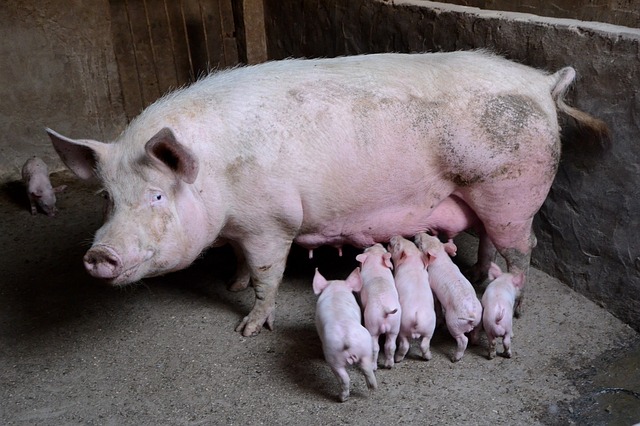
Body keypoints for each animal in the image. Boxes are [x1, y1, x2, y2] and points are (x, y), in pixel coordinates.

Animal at [47, 50, 608, 336]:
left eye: (157, 196)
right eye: (107, 198)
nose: (98, 255)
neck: (217, 179)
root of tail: (543, 83)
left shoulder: (270, 222)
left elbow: (266, 276)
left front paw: (248, 327)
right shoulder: (239, 227)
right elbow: (239, 262)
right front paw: (230, 282)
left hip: (512, 189)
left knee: (523, 250)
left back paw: (515, 304)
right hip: (490, 199)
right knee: (494, 242)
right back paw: (477, 274)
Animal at [314, 268, 378, 402]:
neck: (336, 289)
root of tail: (347, 339)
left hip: (333, 357)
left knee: (344, 378)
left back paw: (341, 398)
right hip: (364, 348)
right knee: (366, 369)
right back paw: (373, 387)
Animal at [416, 233, 480, 362]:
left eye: (421, 244)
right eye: (433, 237)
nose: (419, 233)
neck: (440, 256)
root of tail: (471, 314)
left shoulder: (432, 285)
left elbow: (436, 302)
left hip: (453, 323)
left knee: (463, 340)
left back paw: (455, 358)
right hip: (478, 320)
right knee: (475, 332)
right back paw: (475, 342)